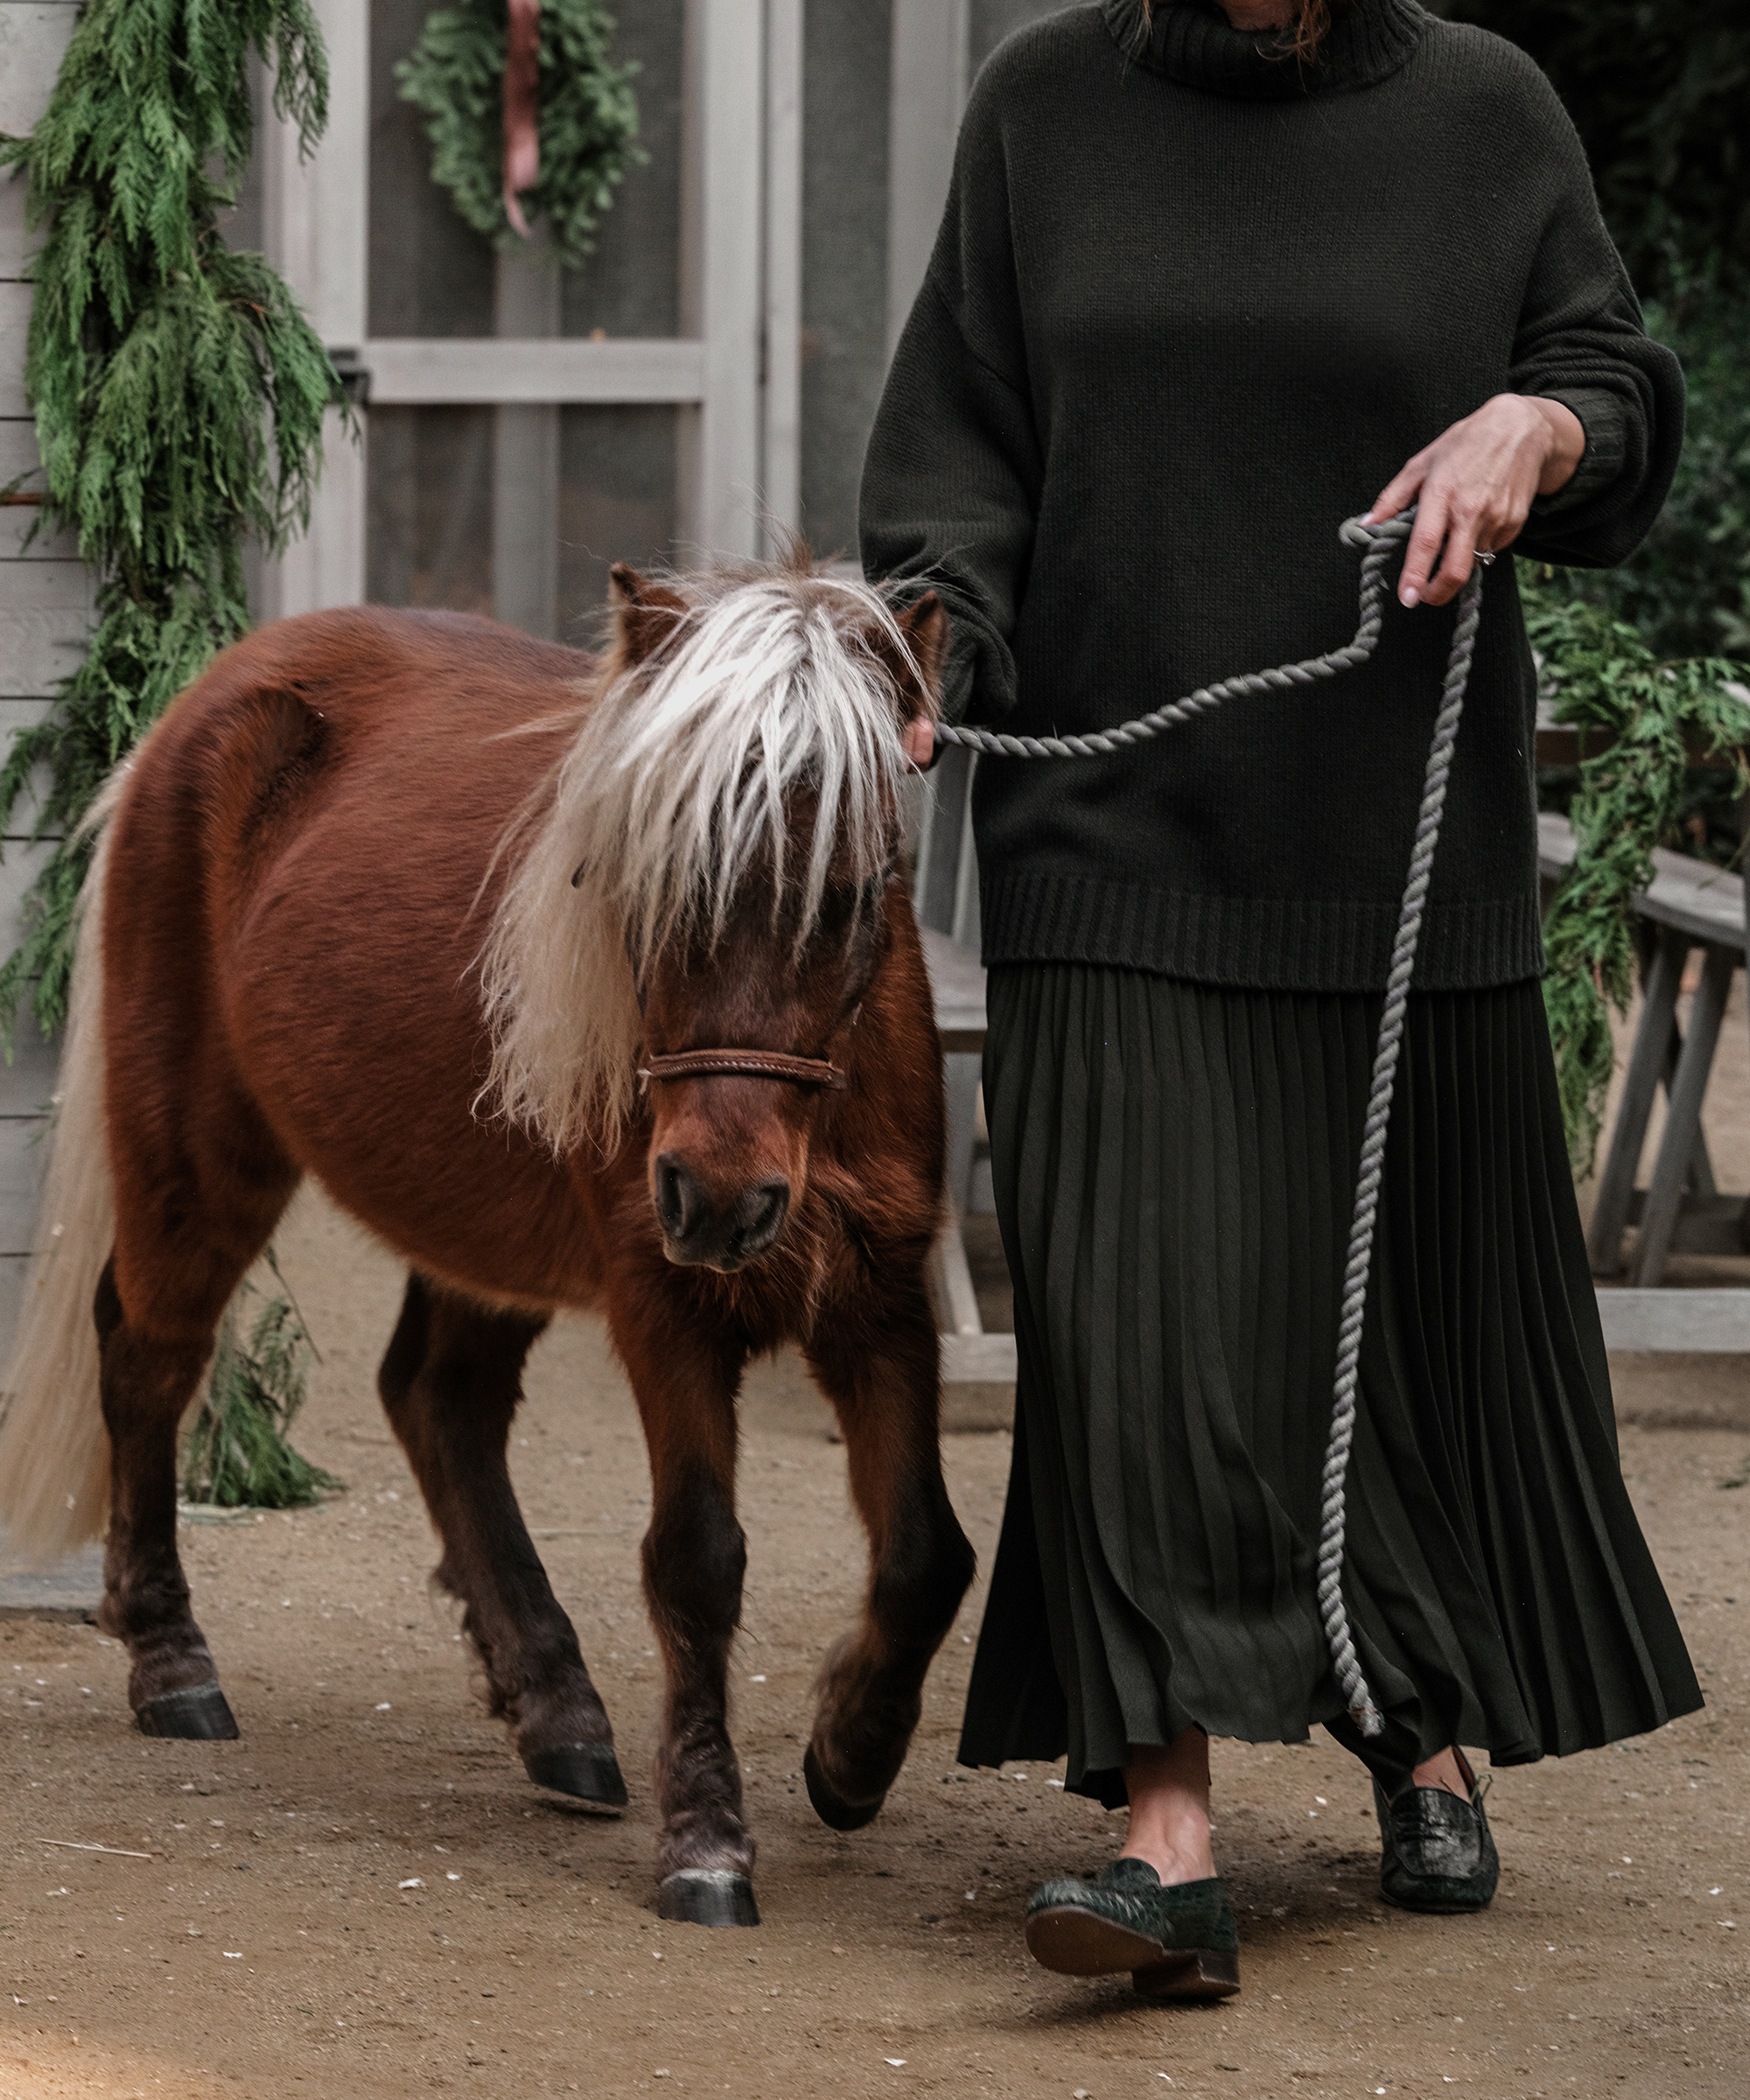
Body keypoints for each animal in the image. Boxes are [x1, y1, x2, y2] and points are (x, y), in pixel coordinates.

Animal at [0, 557, 977, 1928]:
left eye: (847, 898)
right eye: (641, 886)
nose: (719, 1200)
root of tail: (212, 698)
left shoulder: (880, 1306)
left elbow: (927, 1553)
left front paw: (850, 1750)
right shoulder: (661, 1305)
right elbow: (697, 1562)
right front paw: (708, 1846)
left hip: (478, 1218)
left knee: (434, 1397)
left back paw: (556, 1710)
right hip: (202, 1155)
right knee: (149, 1357)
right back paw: (172, 1664)